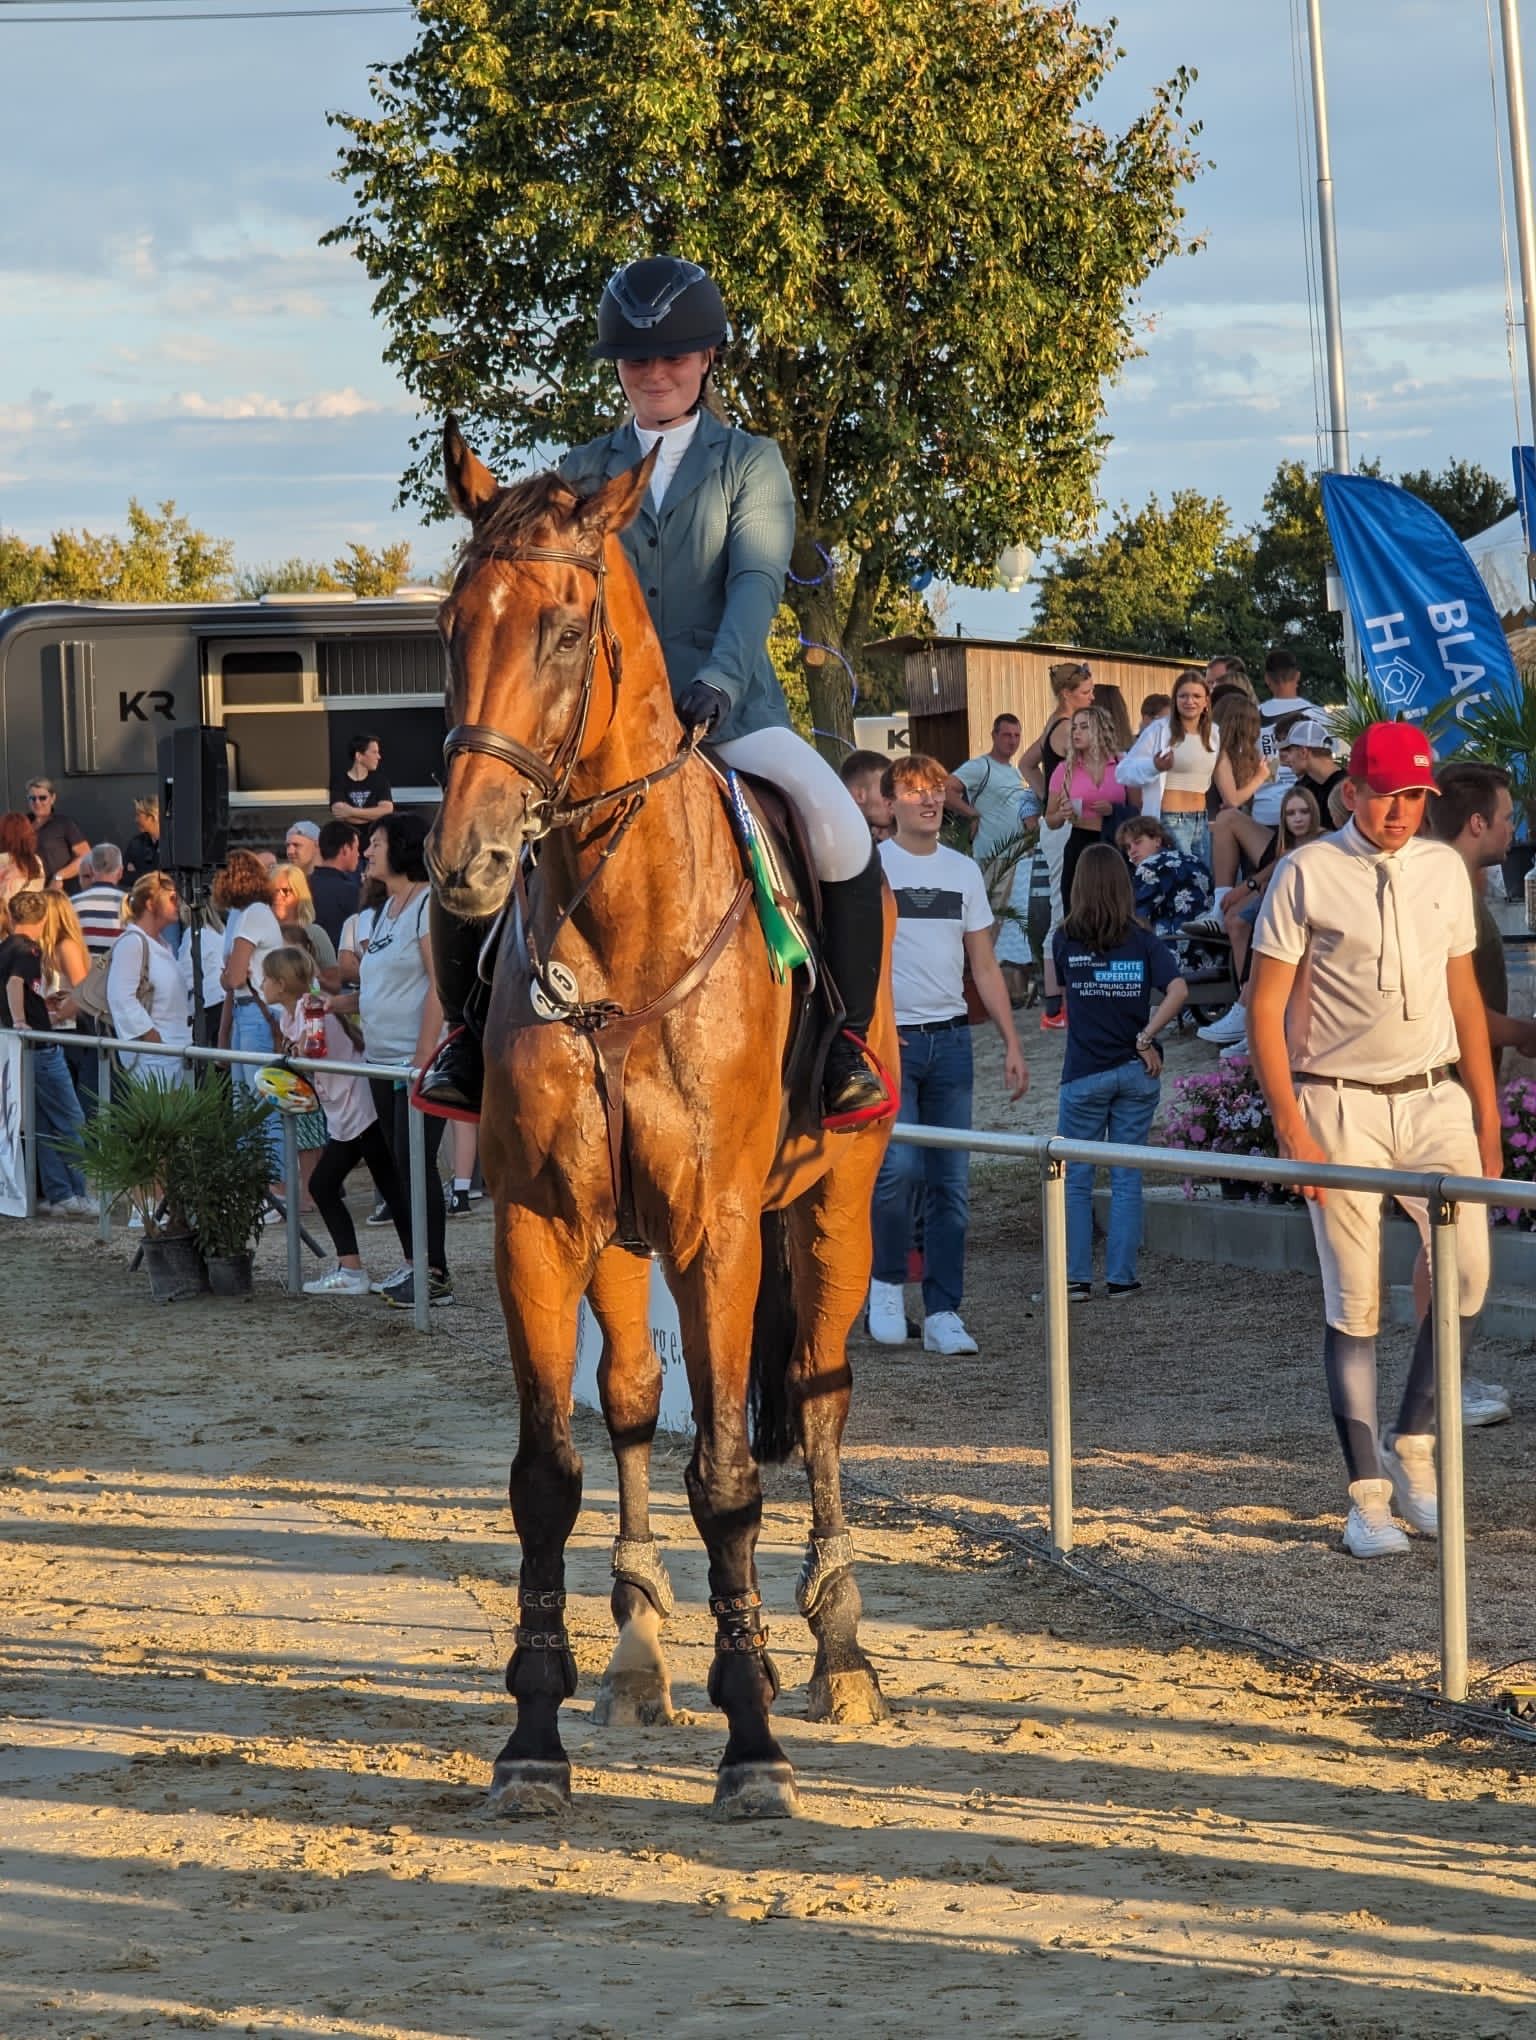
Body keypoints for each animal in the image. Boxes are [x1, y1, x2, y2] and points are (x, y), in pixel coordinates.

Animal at [428, 420, 899, 1820]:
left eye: (567, 633)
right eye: (449, 625)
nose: (466, 866)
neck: (615, 931)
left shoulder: (719, 1233)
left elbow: (731, 1478)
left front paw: (755, 1744)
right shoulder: (540, 1226)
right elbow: (549, 1476)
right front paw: (534, 1734)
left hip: (833, 1208)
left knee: (822, 1393)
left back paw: (837, 1653)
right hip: (616, 1243)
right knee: (634, 1398)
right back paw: (638, 1654)